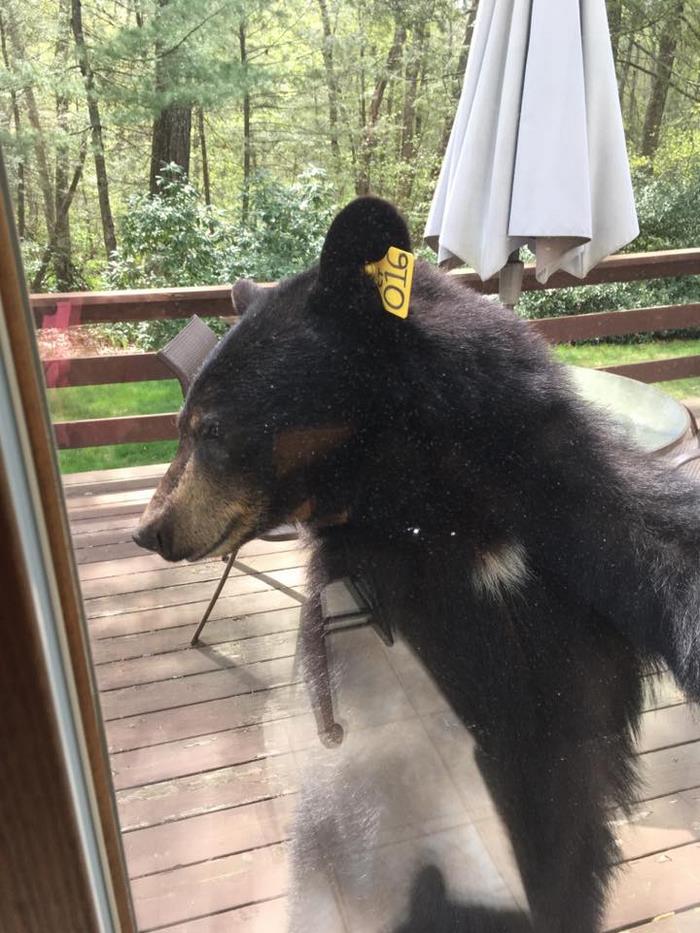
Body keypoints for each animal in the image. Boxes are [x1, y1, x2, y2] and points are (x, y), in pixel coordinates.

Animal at [134, 196, 700, 932]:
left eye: (212, 428)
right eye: (183, 424)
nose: (149, 530)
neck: (436, 498)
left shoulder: (567, 507)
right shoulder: (366, 600)